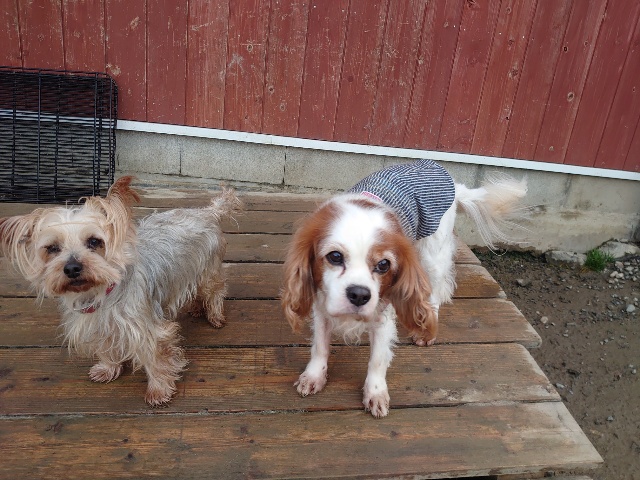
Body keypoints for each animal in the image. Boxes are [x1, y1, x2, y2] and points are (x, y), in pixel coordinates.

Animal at [0, 177, 242, 406]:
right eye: (52, 248)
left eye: (94, 241)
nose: (72, 268)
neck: (100, 294)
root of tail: (208, 212)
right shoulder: (99, 327)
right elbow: (106, 348)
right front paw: (107, 369)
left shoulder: (148, 330)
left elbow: (156, 360)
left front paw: (159, 390)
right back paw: (196, 308)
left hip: (208, 271)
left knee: (215, 291)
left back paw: (215, 315)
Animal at [281, 159, 527, 417]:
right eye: (335, 256)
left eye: (383, 264)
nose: (359, 294)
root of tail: (448, 177)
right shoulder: (322, 307)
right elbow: (320, 346)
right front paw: (314, 376)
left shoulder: (383, 316)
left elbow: (378, 359)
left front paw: (376, 393)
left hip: (432, 255)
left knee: (433, 295)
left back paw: (426, 331)